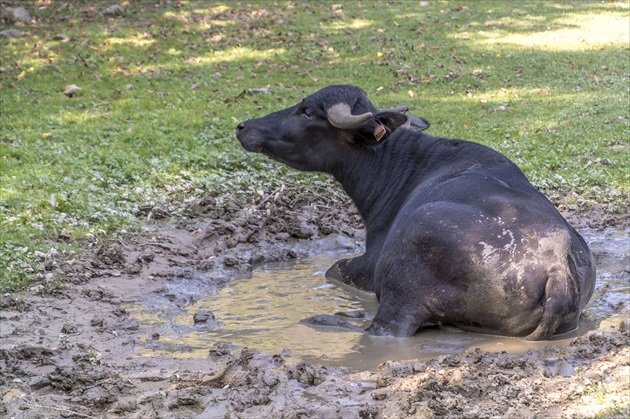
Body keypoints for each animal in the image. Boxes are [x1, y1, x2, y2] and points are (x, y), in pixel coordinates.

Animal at [237, 85, 596, 342]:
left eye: (307, 111)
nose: (243, 126)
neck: (401, 166)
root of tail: (557, 266)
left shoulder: (367, 266)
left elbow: (334, 268)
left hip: (404, 280)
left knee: (384, 330)